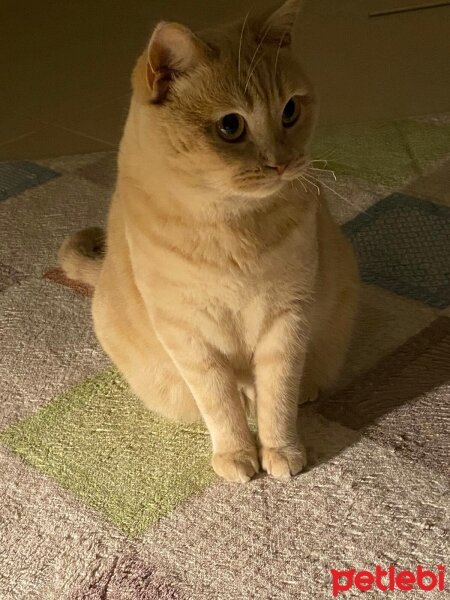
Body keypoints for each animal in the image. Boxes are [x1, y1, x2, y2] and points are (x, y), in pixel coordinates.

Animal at [58, 0, 358, 480]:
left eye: (290, 111)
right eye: (231, 126)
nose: (282, 163)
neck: (231, 226)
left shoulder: (287, 318)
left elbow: (277, 395)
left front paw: (281, 449)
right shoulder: (188, 333)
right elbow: (220, 402)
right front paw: (237, 454)